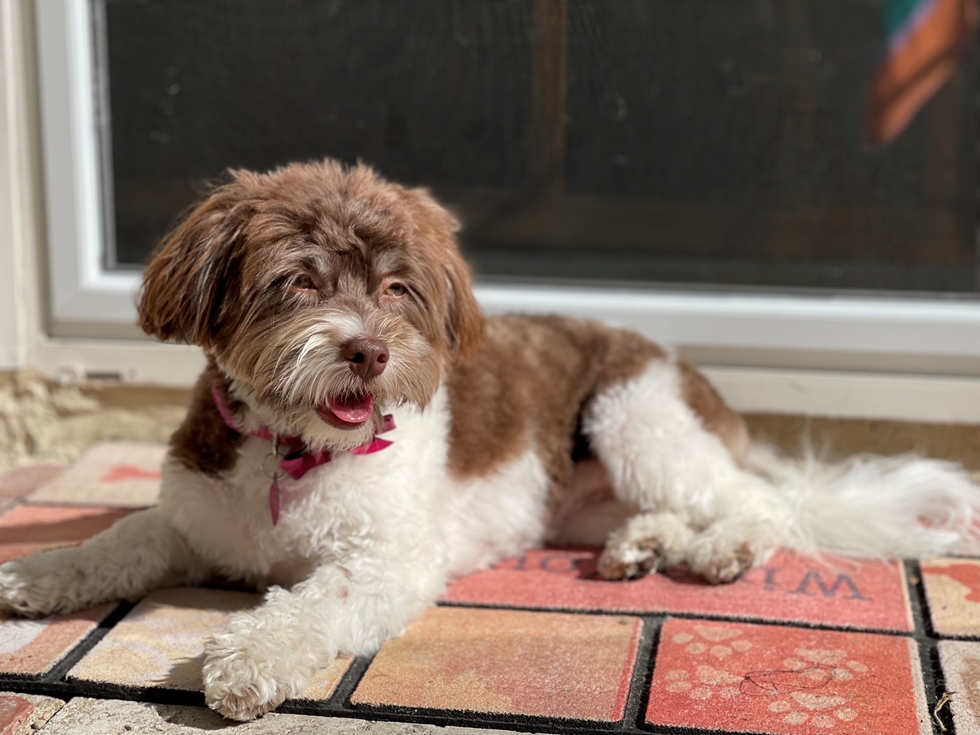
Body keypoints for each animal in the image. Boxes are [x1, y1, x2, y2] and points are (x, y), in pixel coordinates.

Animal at [1, 160, 980, 720]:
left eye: (397, 288)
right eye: (298, 280)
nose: (367, 348)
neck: (292, 448)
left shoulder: (390, 555)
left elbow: (310, 601)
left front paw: (247, 656)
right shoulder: (190, 515)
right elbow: (117, 539)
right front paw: (36, 574)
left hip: (638, 415)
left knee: (759, 501)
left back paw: (722, 547)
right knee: (662, 511)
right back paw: (641, 545)